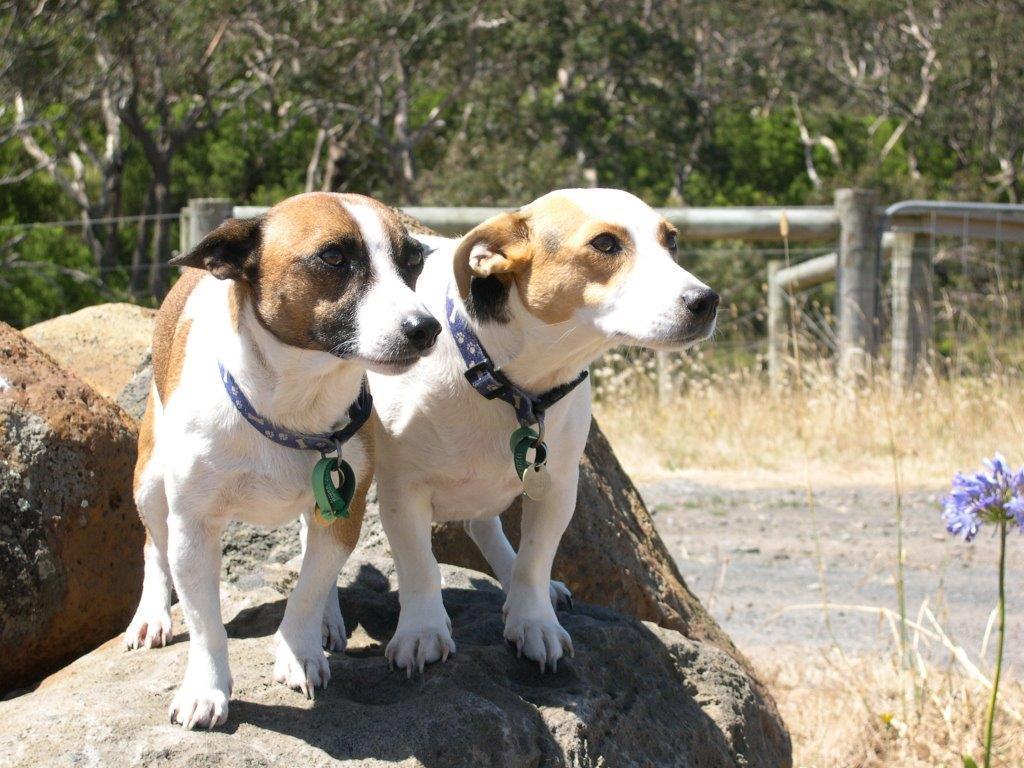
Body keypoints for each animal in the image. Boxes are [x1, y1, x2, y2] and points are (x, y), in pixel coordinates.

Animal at [123, 191, 440, 729]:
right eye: (333, 257)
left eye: (414, 259)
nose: (427, 327)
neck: (291, 407)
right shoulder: (194, 528)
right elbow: (204, 621)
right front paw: (205, 689)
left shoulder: (344, 509)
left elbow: (310, 587)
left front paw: (298, 650)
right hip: (149, 480)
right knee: (153, 548)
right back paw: (151, 616)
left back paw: (327, 620)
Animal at [370, 189, 720, 675]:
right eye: (605, 244)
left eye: (672, 241)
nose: (707, 300)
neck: (508, 381)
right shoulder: (402, 491)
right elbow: (419, 566)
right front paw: (421, 630)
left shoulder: (556, 486)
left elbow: (534, 559)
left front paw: (533, 620)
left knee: (484, 526)